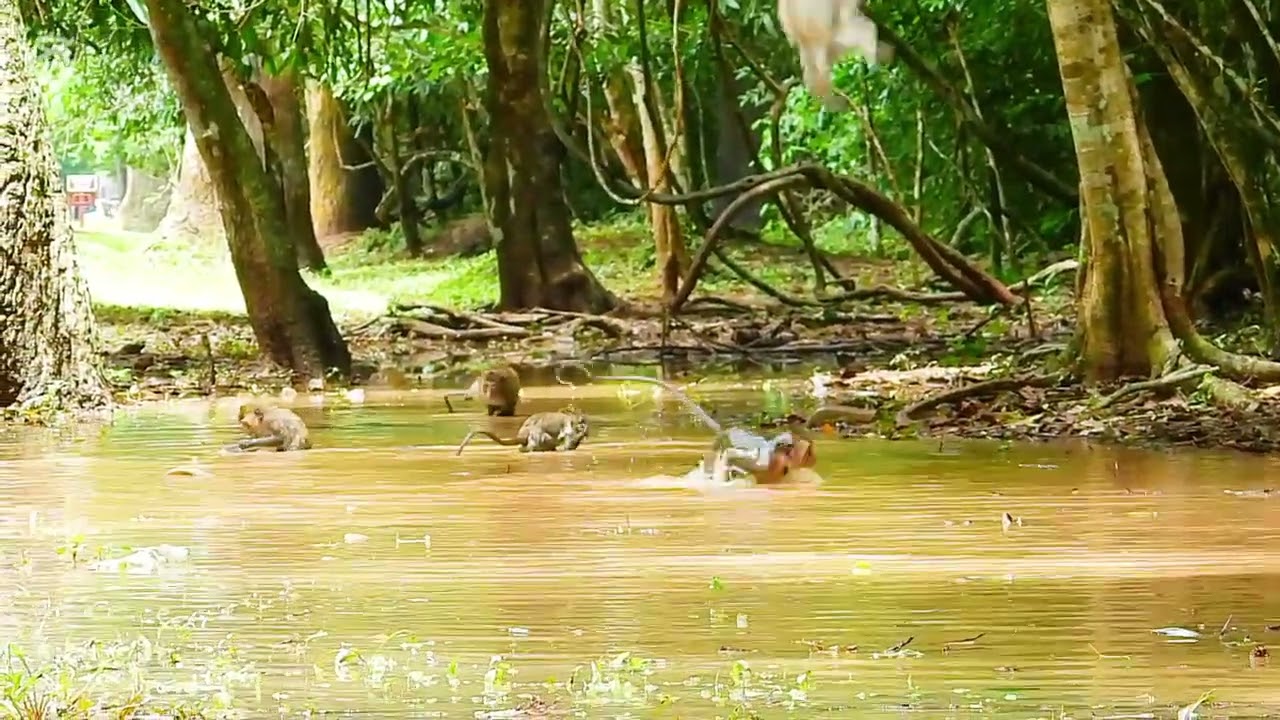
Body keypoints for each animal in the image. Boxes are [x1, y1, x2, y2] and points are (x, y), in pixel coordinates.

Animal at [455, 410, 590, 455]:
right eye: (581, 422)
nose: (584, 425)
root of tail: (521, 434)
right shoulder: (568, 429)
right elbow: (568, 440)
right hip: (535, 434)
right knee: (538, 438)